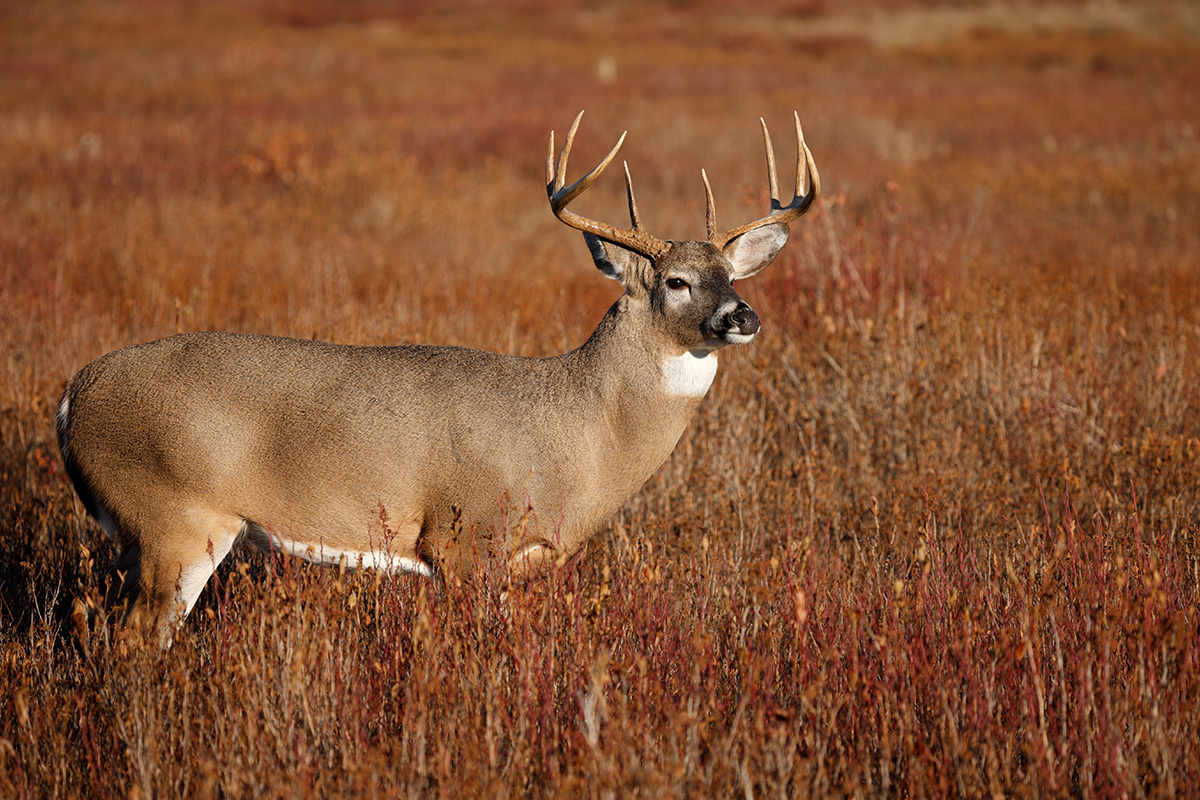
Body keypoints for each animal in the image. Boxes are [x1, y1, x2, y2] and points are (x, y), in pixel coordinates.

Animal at [60, 110, 820, 642]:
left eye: (733, 276)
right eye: (676, 281)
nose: (743, 315)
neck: (580, 433)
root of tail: (72, 397)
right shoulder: (464, 538)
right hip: (173, 518)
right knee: (131, 642)